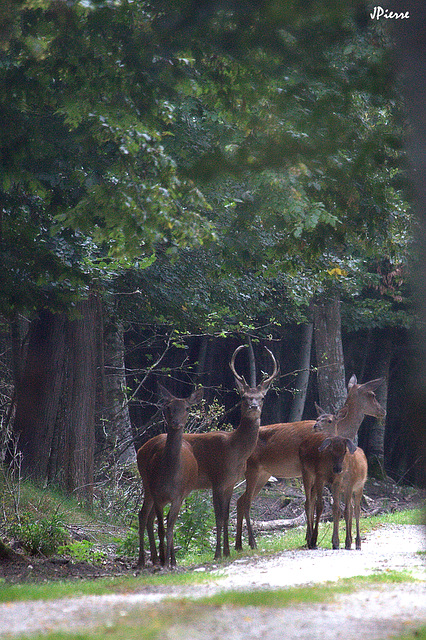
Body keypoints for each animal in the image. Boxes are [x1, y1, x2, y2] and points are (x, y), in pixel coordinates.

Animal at [136, 382, 203, 568]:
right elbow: (161, 528)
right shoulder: (158, 493)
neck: (170, 476)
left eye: (187, 408)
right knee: (144, 515)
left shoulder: (178, 496)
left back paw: (161, 558)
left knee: (155, 518)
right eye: (168, 407)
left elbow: (171, 527)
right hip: (146, 483)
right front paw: (164, 560)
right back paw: (144, 559)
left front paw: (169, 561)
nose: (175, 422)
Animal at [181, 344, 278, 560]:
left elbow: (226, 516)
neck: (234, 450)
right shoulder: (217, 479)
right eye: (243, 396)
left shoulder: (230, 482)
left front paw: (227, 550)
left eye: (262, 397)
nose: (253, 406)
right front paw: (218, 553)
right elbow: (218, 517)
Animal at [235, 376, 384, 552]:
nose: (382, 411)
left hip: (263, 473)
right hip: (252, 468)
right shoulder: (308, 471)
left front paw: (311, 538)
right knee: (246, 501)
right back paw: (251, 543)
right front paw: (311, 539)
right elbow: (311, 503)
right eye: (372, 394)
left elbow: (315, 502)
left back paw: (238, 545)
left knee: (240, 500)